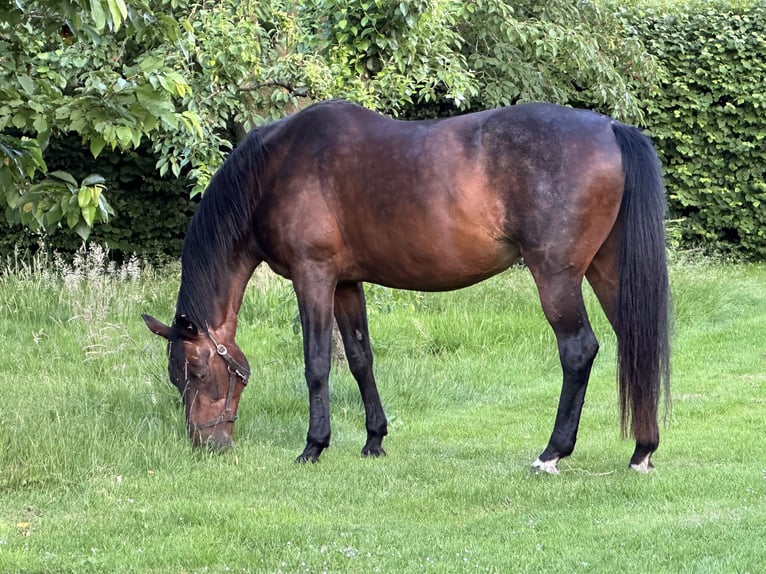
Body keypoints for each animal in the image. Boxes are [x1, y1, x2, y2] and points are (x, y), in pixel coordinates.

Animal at [144, 100, 672, 476]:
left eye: (195, 371)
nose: (207, 444)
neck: (274, 168)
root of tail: (611, 128)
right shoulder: (346, 282)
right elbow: (360, 359)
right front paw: (374, 439)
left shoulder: (313, 276)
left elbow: (317, 363)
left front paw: (314, 446)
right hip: (606, 270)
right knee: (634, 340)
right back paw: (642, 450)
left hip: (556, 276)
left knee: (579, 350)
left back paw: (552, 453)